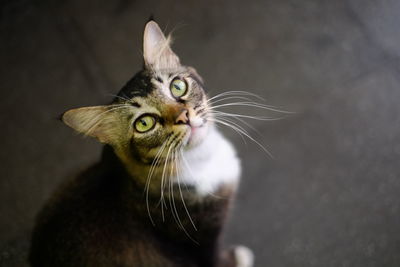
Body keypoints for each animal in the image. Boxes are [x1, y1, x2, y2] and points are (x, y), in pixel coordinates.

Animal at [28, 19, 253, 266]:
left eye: (177, 86)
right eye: (144, 123)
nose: (184, 116)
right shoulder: (197, 245)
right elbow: (219, 259)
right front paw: (239, 257)